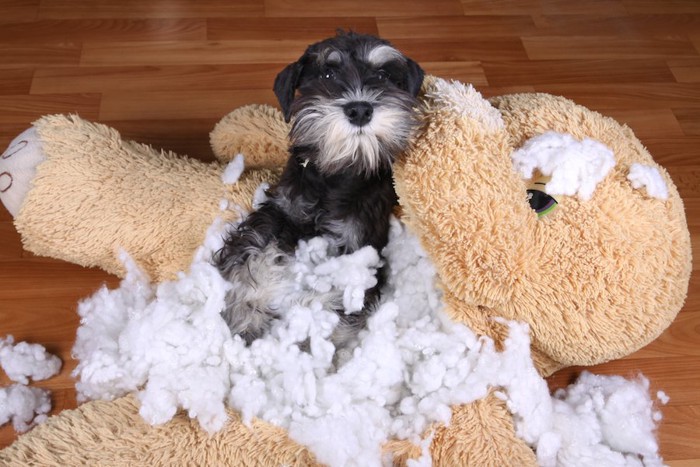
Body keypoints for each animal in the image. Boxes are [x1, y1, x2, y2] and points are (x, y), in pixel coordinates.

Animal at [213, 30, 424, 352]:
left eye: (383, 75)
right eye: (327, 73)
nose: (359, 109)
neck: (339, 173)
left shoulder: (361, 249)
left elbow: (337, 300)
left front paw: (310, 342)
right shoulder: (278, 212)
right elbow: (249, 253)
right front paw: (244, 315)